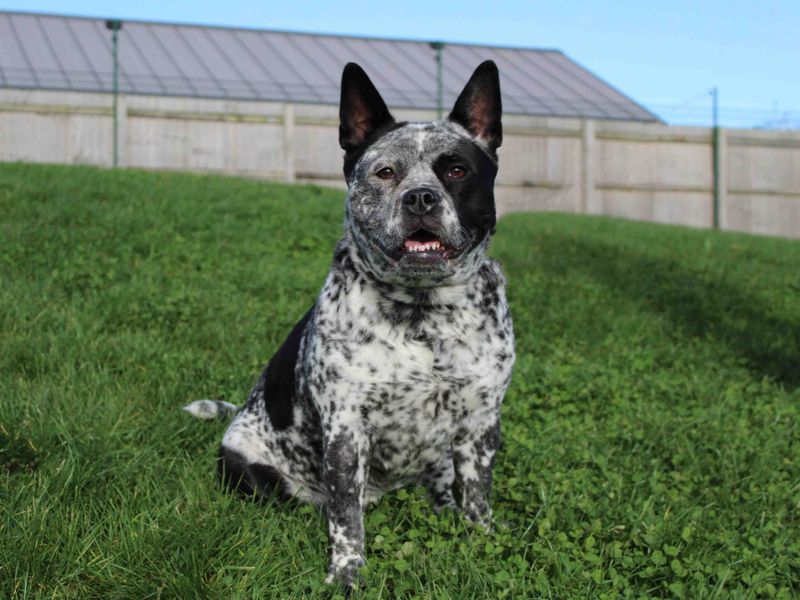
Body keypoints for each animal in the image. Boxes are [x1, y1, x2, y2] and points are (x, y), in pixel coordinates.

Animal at [185, 62, 516, 592]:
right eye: (385, 172)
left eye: (456, 170)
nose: (420, 197)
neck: (423, 315)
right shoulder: (345, 431)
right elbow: (345, 517)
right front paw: (347, 570)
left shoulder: (481, 424)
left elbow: (477, 494)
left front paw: (481, 539)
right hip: (253, 472)